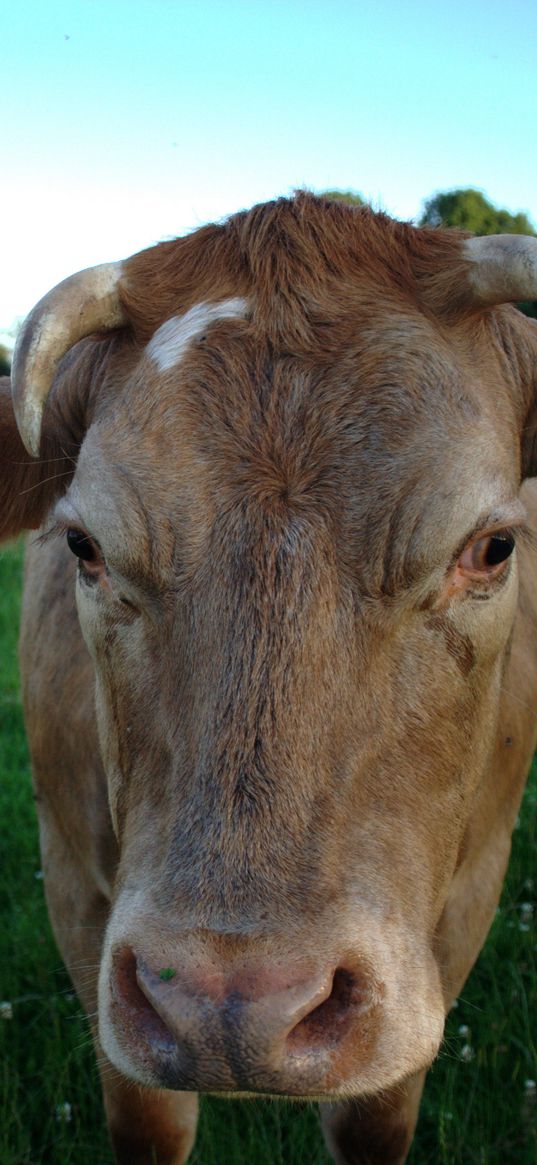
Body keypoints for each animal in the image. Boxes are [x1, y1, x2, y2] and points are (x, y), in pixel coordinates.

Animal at [1, 193, 535, 1165]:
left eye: (492, 546)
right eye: (84, 545)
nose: (229, 1004)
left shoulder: (465, 901)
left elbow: (371, 1119)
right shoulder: (73, 887)